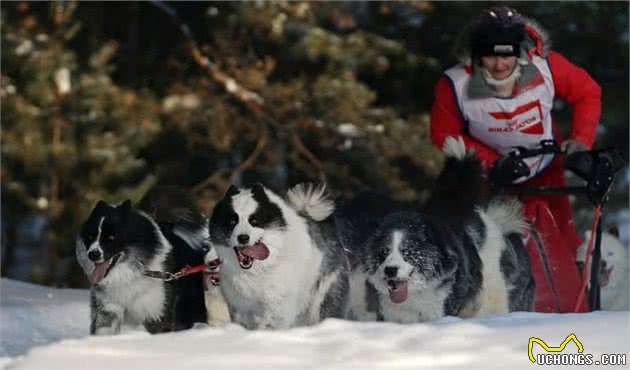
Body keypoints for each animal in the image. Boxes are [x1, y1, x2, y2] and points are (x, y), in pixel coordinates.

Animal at [74, 191, 207, 336]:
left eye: (111, 237)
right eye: (90, 237)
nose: (93, 254)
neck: (131, 273)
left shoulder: (157, 311)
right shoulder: (107, 308)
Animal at [211, 182, 350, 330]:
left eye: (254, 221)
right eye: (232, 222)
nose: (243, 238)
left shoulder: (278, 303)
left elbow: (269, 323)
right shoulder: (240, 306)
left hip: (324, 295)